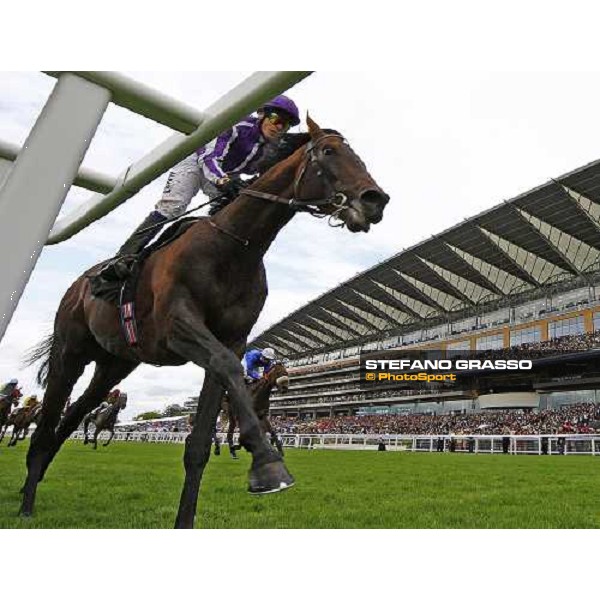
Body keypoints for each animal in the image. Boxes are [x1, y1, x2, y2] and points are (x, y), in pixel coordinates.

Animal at [19, 115, 390, 528]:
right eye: (328, 151)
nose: (375, 200)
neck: (235, 246)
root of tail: (80, 283)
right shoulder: (178, 328)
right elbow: (229, 370)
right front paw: (266, 462)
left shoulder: (229, 340)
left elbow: (198, 445)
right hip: (70, 352)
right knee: (48, 421)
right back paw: (27, 501)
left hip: (115, 363)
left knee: (73, 416)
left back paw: (36, 478)